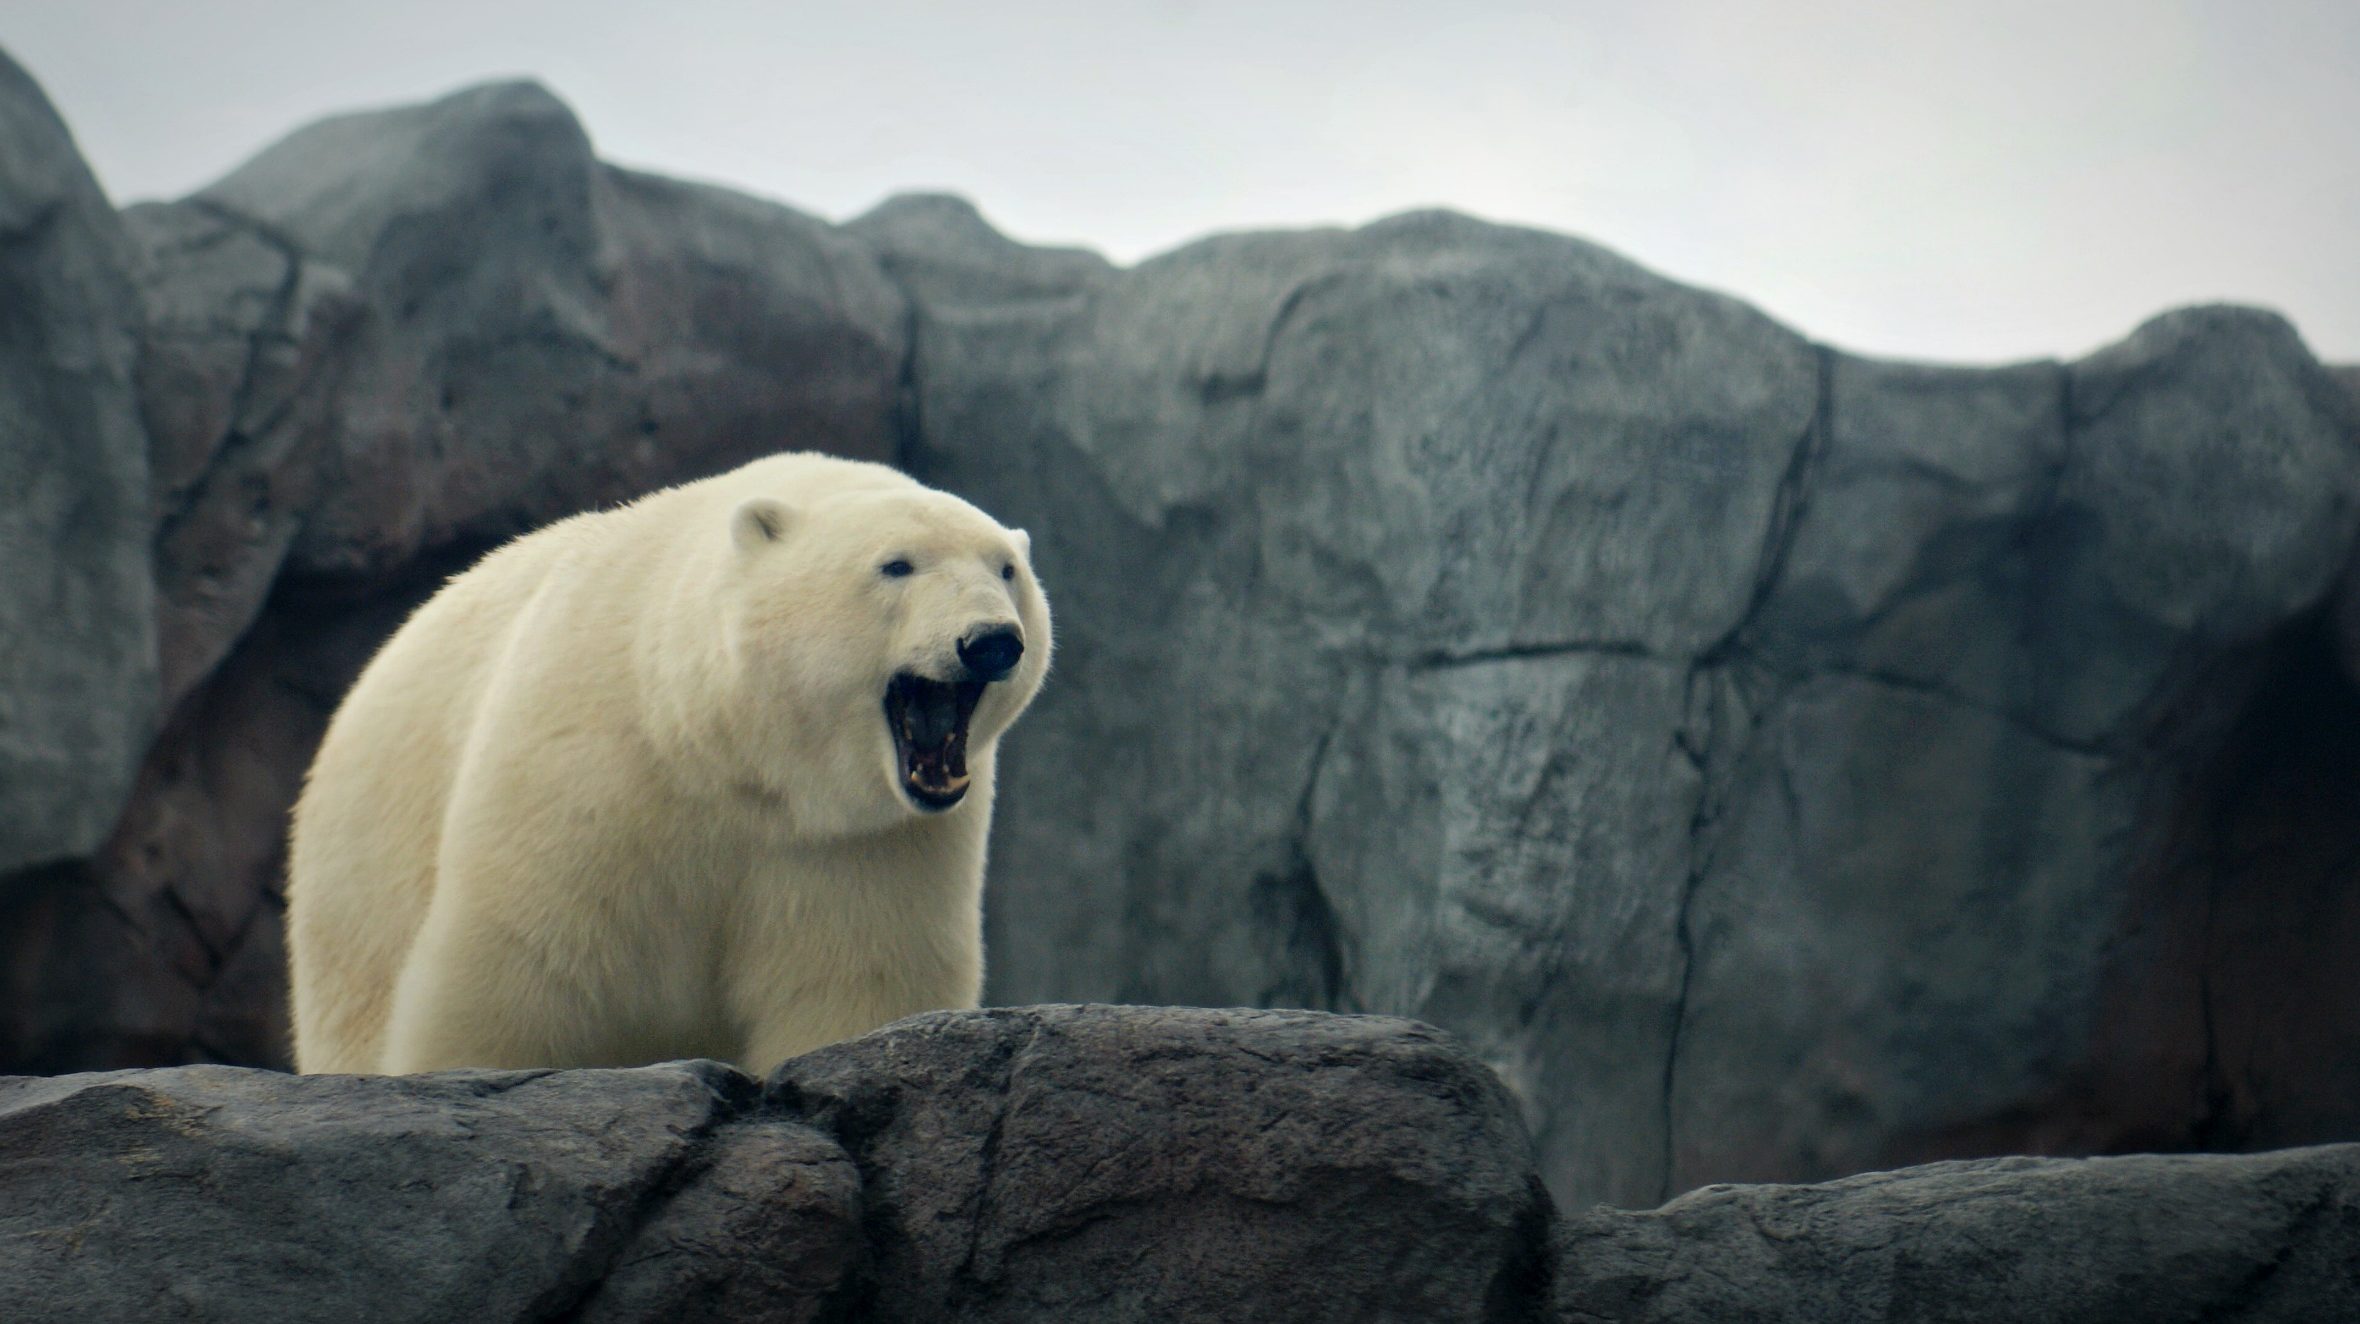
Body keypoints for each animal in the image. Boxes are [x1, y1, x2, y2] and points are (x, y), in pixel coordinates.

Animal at [280, 453, 1047, 1076]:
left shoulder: (863, 844)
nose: (991, 641)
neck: (724, 752)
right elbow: (522, 966)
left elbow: (854, 979)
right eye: (896, 564)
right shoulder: (588, 775)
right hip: (359, 880)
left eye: (1006, 570)